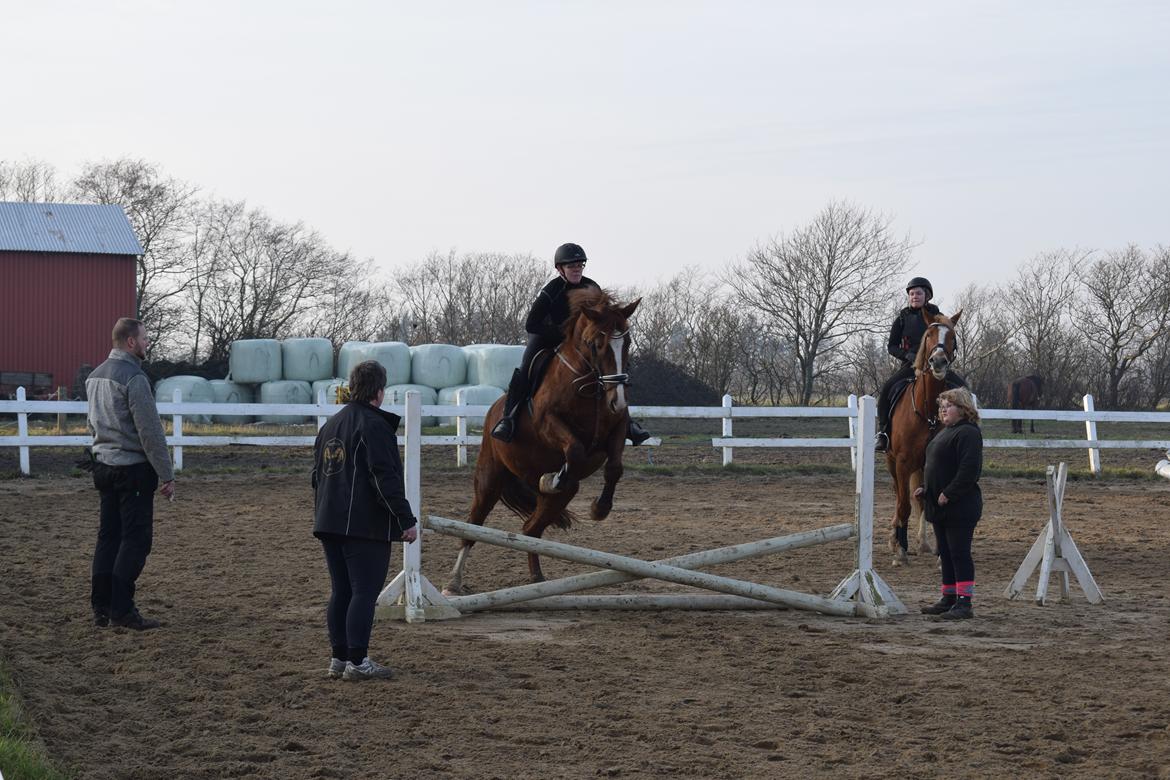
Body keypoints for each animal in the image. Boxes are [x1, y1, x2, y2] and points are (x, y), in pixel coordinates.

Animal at [442, 290, 641, 594]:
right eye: (597, 344)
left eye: (627, 343)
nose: (617, 400)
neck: (590, 387)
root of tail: (492, 411)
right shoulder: (548, 423)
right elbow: (575, 449)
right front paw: (554, 478)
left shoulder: (617, 427)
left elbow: (614, 468)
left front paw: (600, 508)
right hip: (490, 477)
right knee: (473, 525)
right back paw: (453, 582)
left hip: (557, 496)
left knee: (530, 530)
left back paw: (536, 577)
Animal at [879, 306, 964, 568]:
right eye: (929, 336)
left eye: (952, 336)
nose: (938, 361)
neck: (928, 413)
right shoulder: (903, 462)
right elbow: (904, 505)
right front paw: (901, 551)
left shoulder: (934, 463)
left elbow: (929, 503)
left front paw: (940, 554)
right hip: (892, 463)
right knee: (900, 497)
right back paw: (895, 539)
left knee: (919, 501)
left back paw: (925, 544)